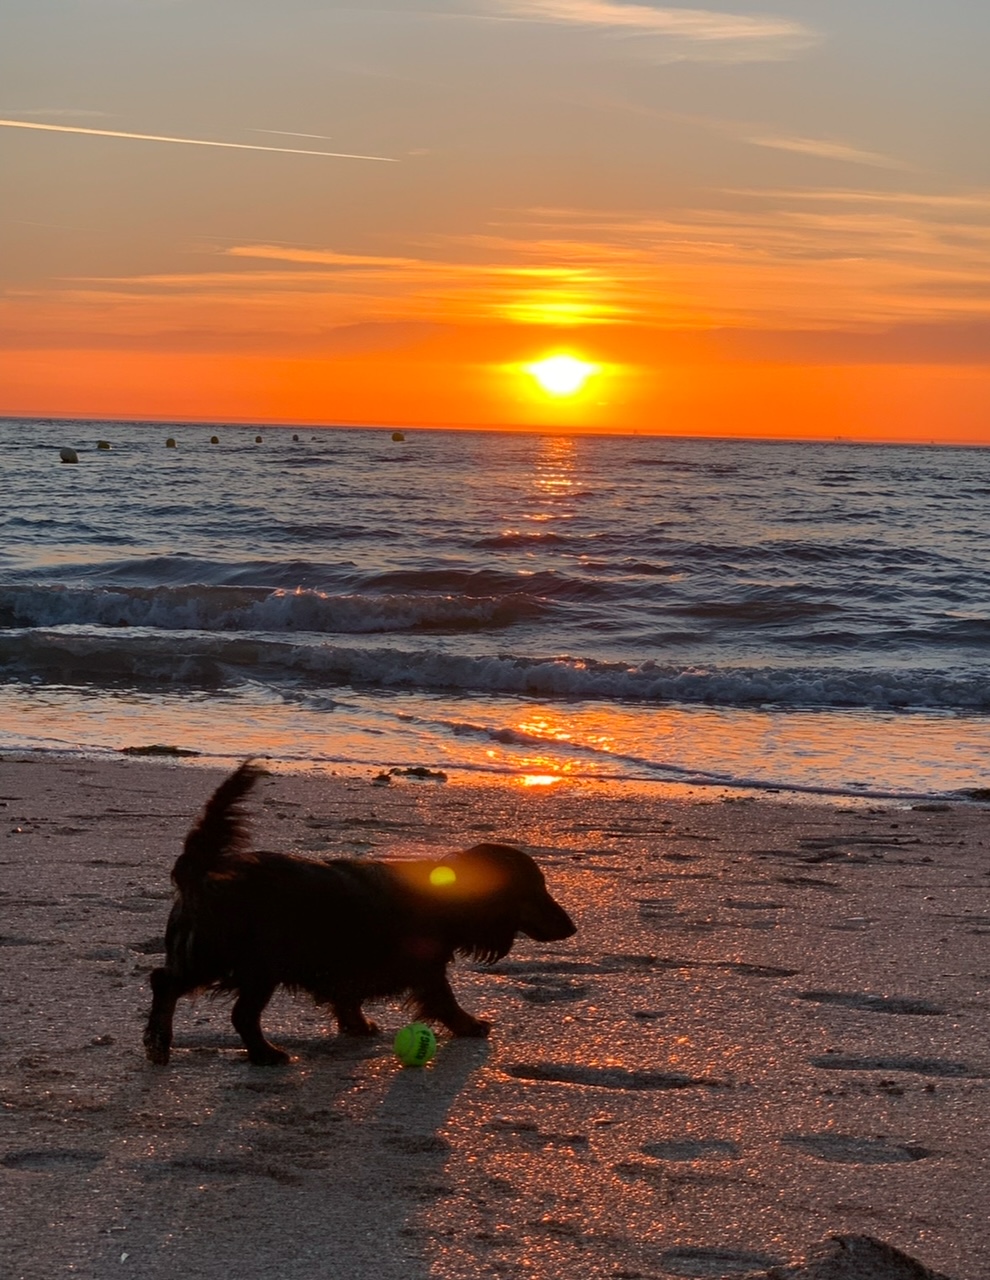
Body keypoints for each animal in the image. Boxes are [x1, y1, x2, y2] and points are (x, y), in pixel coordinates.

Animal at [144, 762, 578, 1064]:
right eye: (536, 890)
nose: (573, 928)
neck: (446, 896)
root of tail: (202, 874)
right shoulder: (426, 967)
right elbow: (443, 999)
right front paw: (469, 1024)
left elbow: (348, 997)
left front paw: (357, 1024)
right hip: (250, 963)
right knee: (223, 1008)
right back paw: (261, 1053)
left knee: (167, 983)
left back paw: (161, 1042)